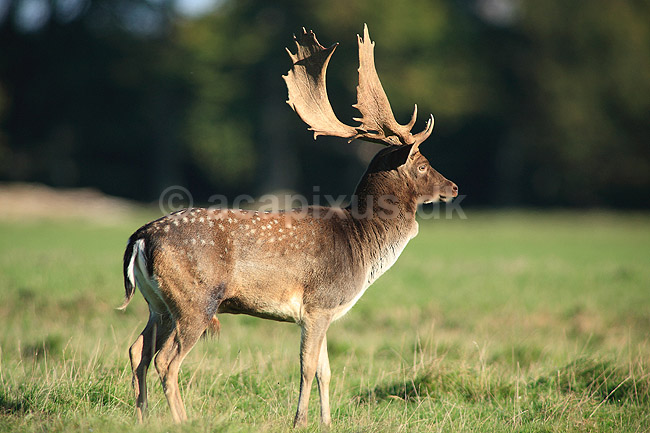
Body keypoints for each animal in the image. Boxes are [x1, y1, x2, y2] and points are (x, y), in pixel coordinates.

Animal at [118, 24, 458, 428]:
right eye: (421, 164)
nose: (454, 187)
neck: (361, 243)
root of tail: (141, 237)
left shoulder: (326, 311)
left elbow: (327, 370)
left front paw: (327, 422)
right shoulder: (318, 303)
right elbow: (307, 368)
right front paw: (300, 421)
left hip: (158, 303)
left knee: (137, 349)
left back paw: (142, 417)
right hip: (195, 299)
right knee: (165, 360)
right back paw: (182, 421)